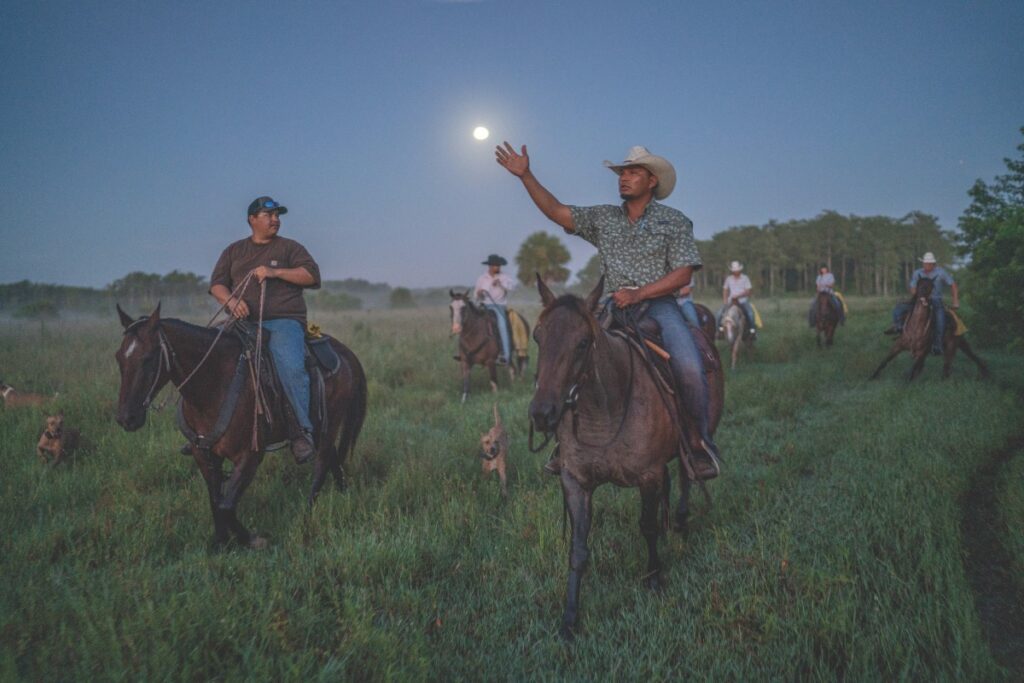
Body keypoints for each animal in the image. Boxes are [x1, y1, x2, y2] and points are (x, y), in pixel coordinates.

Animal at [115, 307, 368, 548]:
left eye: (149, 358)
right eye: (119, 358)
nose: (126, 417)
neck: (215, 383)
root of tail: (346, 353)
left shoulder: (249, 456)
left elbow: (226, 505)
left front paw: (251, 539)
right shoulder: (203, 454)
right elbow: (215, 500)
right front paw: (220, 542)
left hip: (330, 424)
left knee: (322, 462)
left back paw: (307, 513)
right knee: (334, 458)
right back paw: (343, 491)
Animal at [532, 278, 724, 643]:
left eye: (582, 342)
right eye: (537, 336)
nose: (543, 413)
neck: (604, 411)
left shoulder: (647, 476)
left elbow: (647, 527)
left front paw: (654, 578)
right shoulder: (575, 481)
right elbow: (578, 549)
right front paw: (570, 619)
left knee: (686, 474)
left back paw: (680, 520)